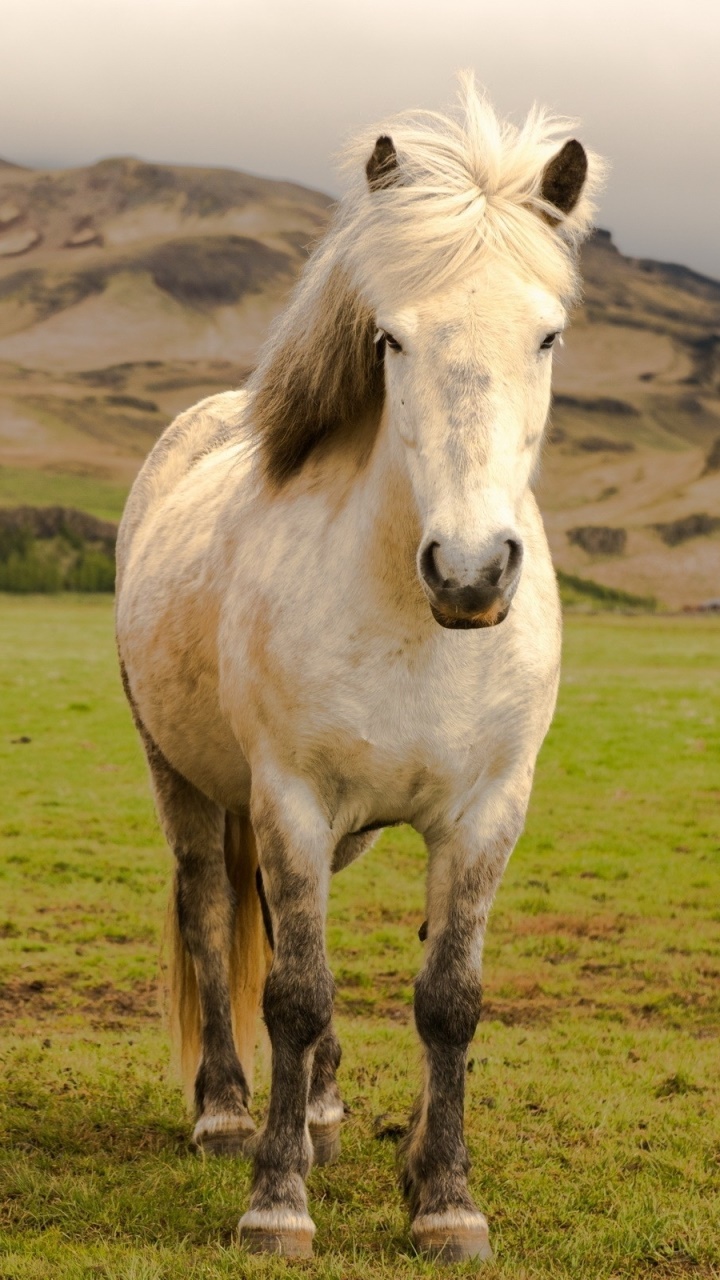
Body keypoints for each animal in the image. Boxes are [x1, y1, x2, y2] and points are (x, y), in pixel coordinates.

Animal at [115, 74, 602, 1262]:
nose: (470, 569)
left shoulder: (487, 811)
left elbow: (448, 995)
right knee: (210, 911)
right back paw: (228, 1110)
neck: (419, 628)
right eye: (389, 339)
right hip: (185, 778)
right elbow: (294, 989)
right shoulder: (288, 798)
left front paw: (443, 1195)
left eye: (548, 335)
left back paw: (328, 1111)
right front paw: (276, 1197)